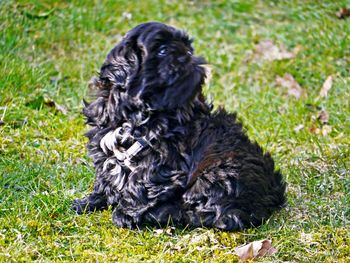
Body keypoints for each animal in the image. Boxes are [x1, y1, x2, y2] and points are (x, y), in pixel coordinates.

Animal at [72, 22, 288, 231]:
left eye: (188, 48)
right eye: (162, 50)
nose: (188, 55)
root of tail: (273, 195)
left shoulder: (161, 160)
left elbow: (140, 184)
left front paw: (125, 214)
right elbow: (105, 175)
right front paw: (90, 201)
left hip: (219, 172)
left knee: (217, 215)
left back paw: (161, 214)